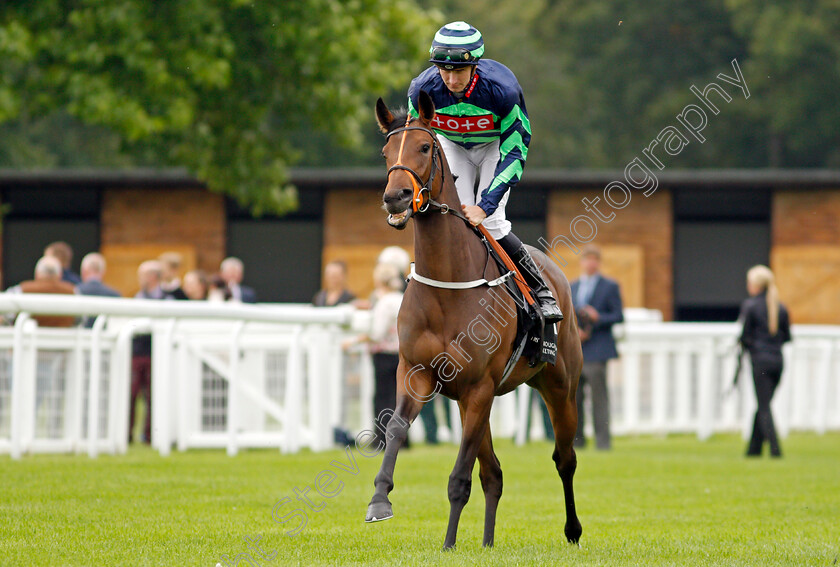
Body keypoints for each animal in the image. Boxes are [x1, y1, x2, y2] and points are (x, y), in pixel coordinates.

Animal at [368, 92, 584, 552]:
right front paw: (380, 499)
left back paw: (573, 530)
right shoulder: (416, 373)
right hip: (474, 403)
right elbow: (396, 428)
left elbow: (459, 478)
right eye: (385, 153)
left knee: (565, 458)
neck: (448, 286)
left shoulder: (480, 386)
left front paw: (448, 544)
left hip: (558, 386)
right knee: (495, 473)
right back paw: (487, 542)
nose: (396, 197)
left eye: (424, 147)